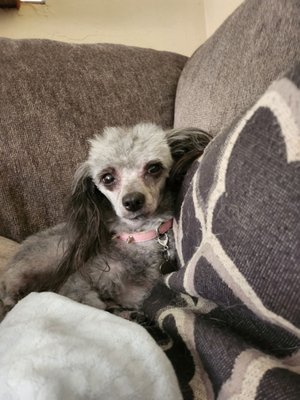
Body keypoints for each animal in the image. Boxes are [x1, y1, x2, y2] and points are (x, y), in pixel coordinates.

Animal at [0, 123, 211, 320]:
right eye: (107, 178)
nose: (132, 201)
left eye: (153, 168)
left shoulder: (138, 294)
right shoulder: (76, 281)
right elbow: (87, 299)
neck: (139, 237)